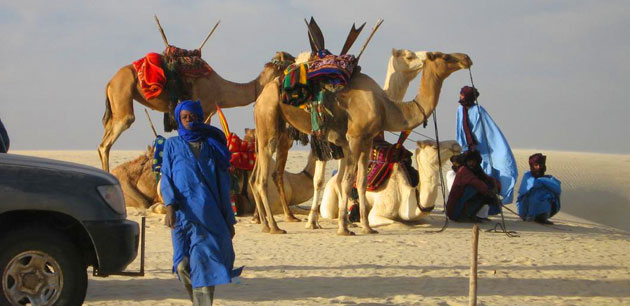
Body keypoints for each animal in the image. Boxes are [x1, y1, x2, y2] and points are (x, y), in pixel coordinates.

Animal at [99, 49, 296, 172]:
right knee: (108, 141)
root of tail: (109, 82)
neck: (220, 89)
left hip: (116, 102)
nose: (298, 61)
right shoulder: (206, 109)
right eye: (289, 58)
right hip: (122, 93)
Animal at [324, 140, 462, 226]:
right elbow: (399, 224)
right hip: (330, 194)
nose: (456, 144)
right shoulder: (377, 213)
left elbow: (425, 221)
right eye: (434, 146)